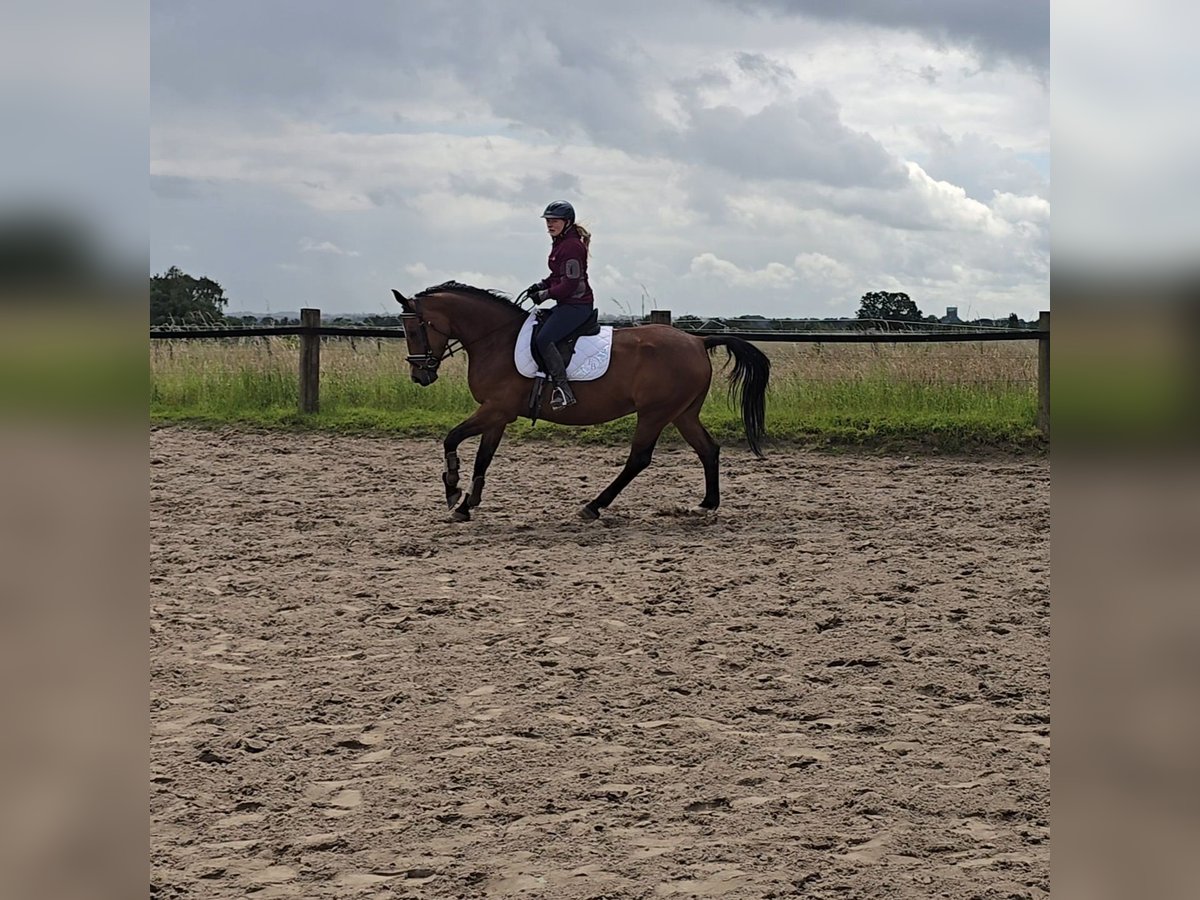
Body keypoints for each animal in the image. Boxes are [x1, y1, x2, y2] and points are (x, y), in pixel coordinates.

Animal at [393, 282, 768, 520]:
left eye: (413, 330)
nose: (420, 375)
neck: (496, 339)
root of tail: (697, 341)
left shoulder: (495, 409)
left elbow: (452, 438)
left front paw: (452, 491)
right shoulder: (497, 415)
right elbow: (483, 459)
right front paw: (467, 504)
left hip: (655, 414)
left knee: (639, 459)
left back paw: (593, 506)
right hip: (682, 413)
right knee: (708, 449)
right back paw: (706, 504)